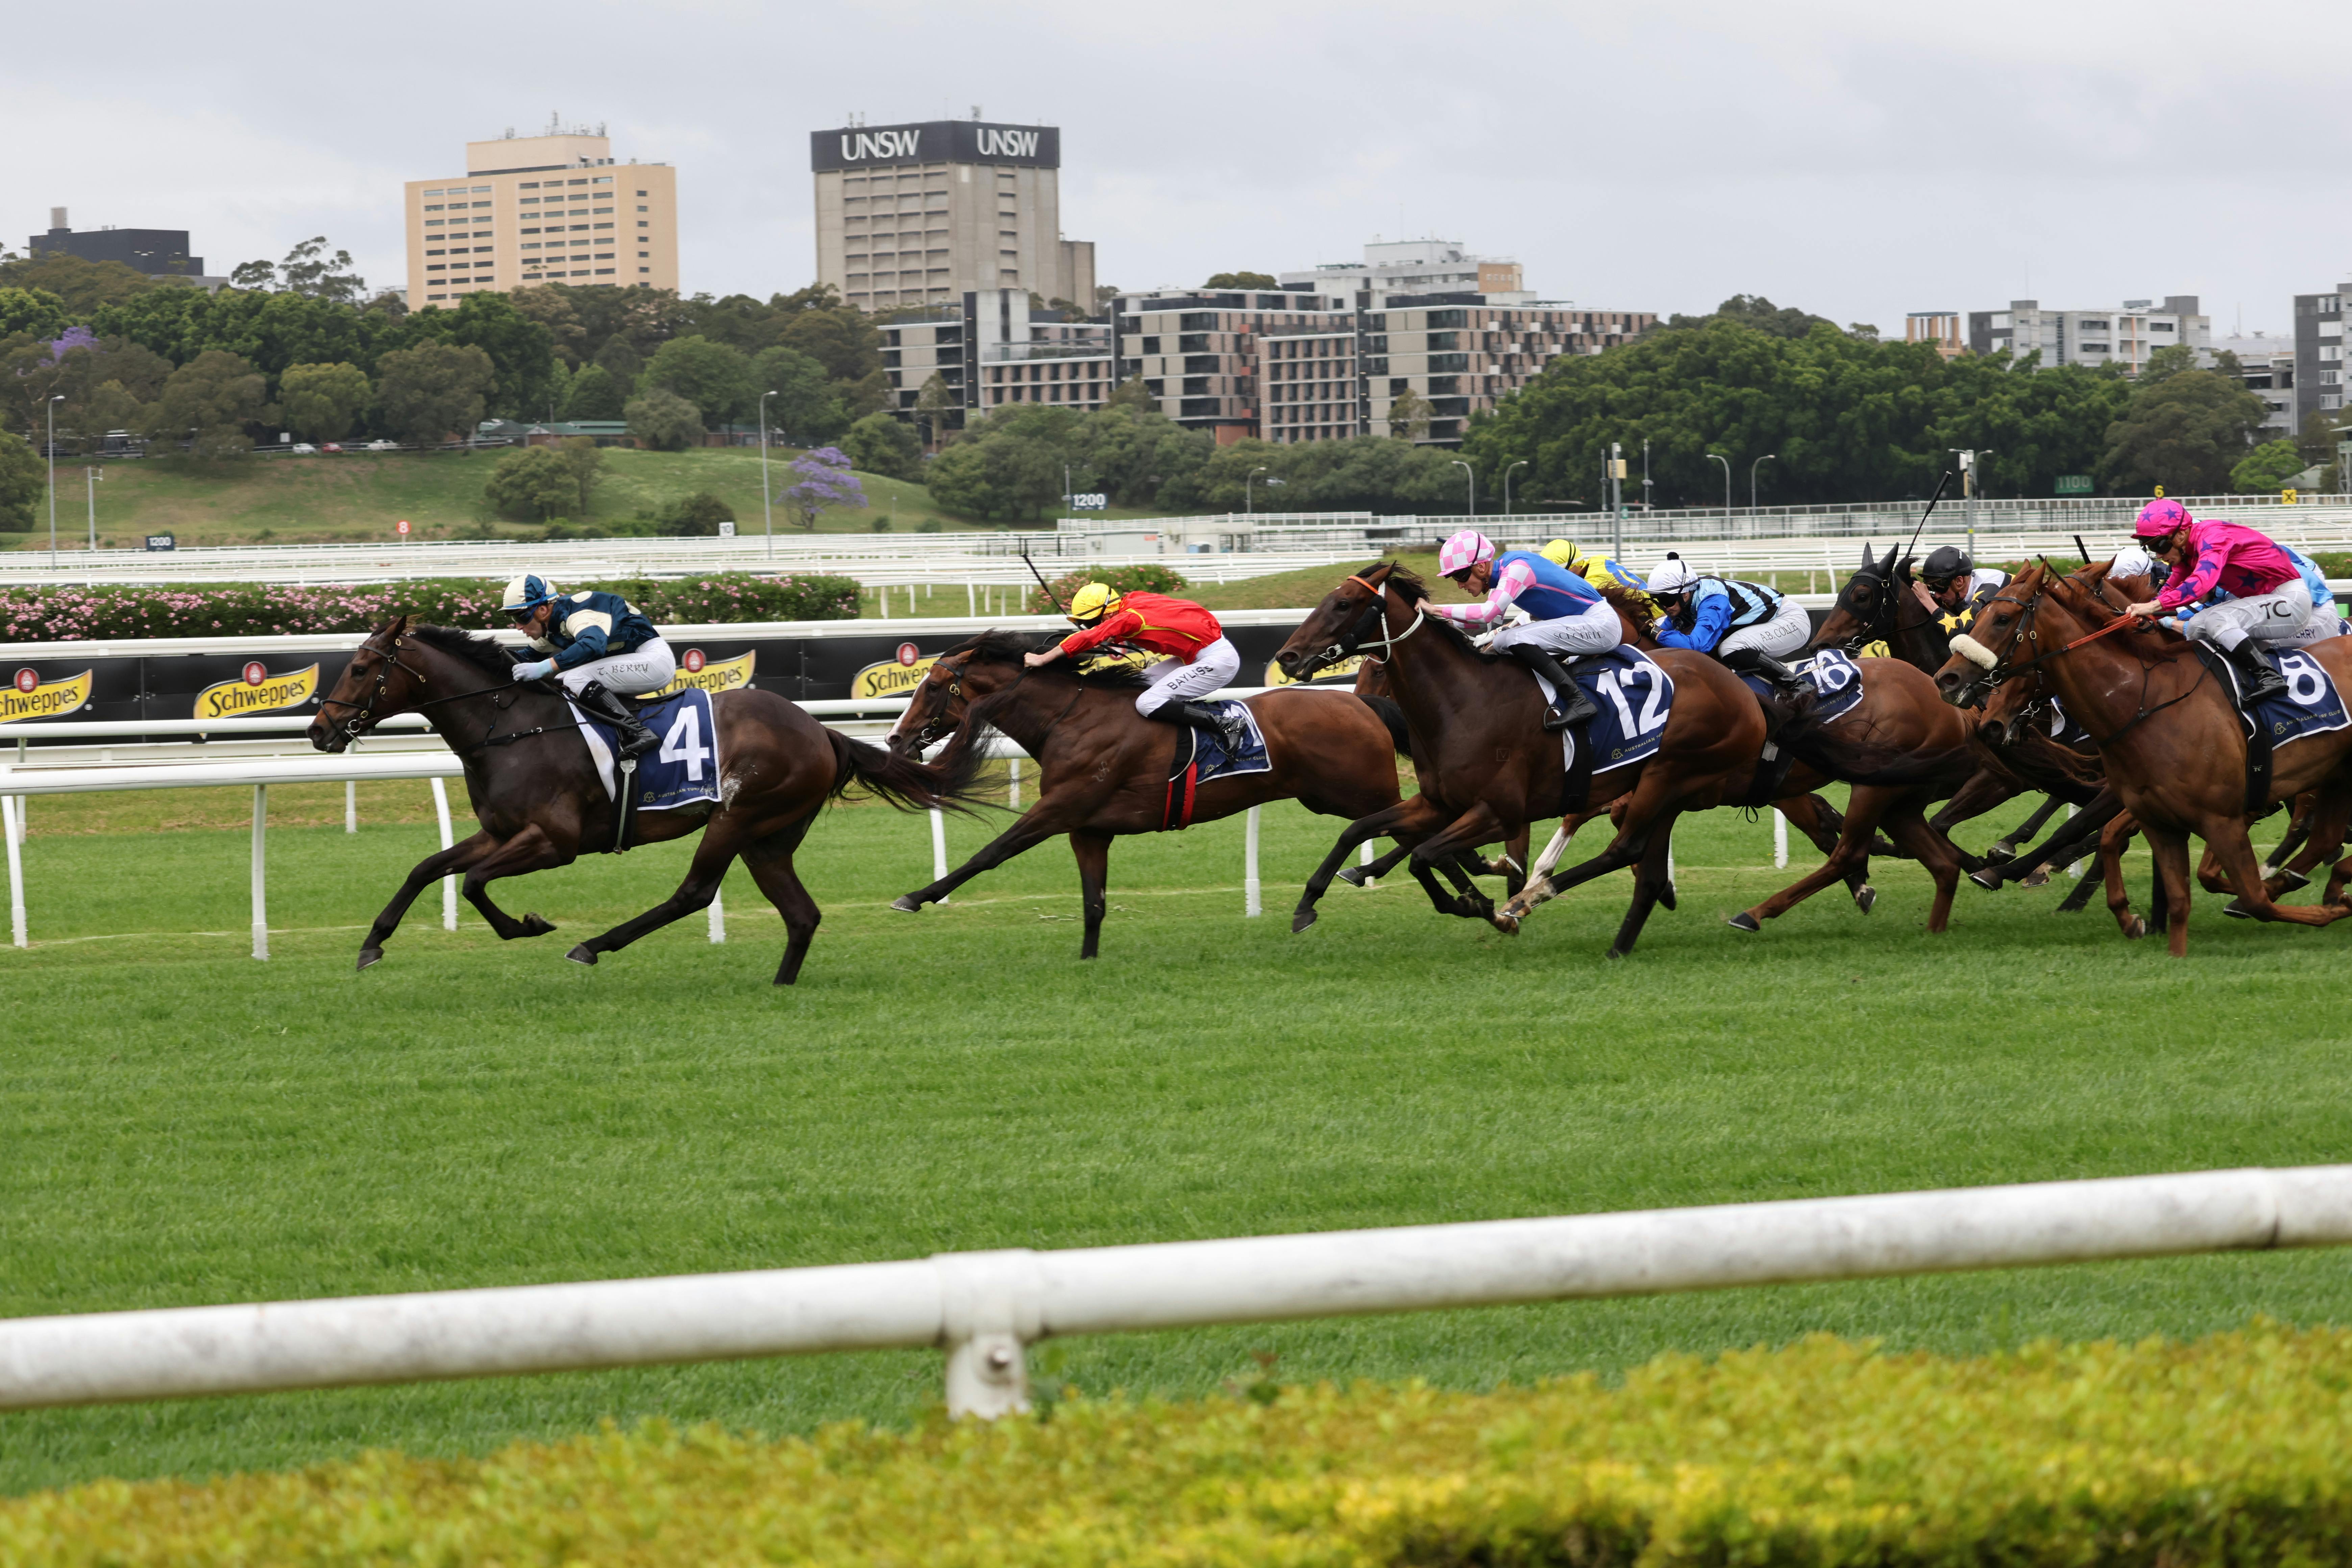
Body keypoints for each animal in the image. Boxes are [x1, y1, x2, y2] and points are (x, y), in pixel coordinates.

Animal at [309, 617, 976, 984]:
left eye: (362, 668)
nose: (320, 731)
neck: (512, 727)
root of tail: (820, 731)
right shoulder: (501, 832)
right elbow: (428, 868)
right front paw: (372, 944)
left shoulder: (553, 842)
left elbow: (473, 883)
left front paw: (528, 926)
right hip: (769, 837)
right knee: (801, 914)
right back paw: (781, 985)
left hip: (738, 816)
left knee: (695, 893)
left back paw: (592, 946)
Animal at [882, 629, 1485, 958]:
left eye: (934, 686)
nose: (896, 739)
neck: (1070, 719)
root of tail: (1362, 702)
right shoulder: (1089, 828)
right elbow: (1094, 903)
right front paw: (1087, 961)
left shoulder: (1059, 808)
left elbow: (991, 853)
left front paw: (916, 895)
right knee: (1418, 833)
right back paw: (1467, 892)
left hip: (1359, 791)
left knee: (1415, 830)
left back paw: (1460, 890)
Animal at [1272, 562, 1765, 958]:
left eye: (1343, 604)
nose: (1288, 657)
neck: (1464, 702)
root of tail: (1742, 692)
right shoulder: (1437, 803)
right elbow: (1360, 830)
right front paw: (1308, 904)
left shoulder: (1501, 812)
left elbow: (1426, 855)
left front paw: (1482, 904)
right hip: (1666, 789)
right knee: (1643, 862)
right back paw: (1616, 938)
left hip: (1671, 774)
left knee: (1625, 848)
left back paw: (1531, 899)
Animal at [1932, 563, 2352, 955]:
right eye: (1979, 614)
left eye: (2002, 619)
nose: (1947, 679)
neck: (2147, 697)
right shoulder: (2148, 801)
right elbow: (2107, 835)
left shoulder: (2220, 808)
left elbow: (2084, 827)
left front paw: (2013, 869)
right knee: (2320, 835)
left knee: (2307, 828)